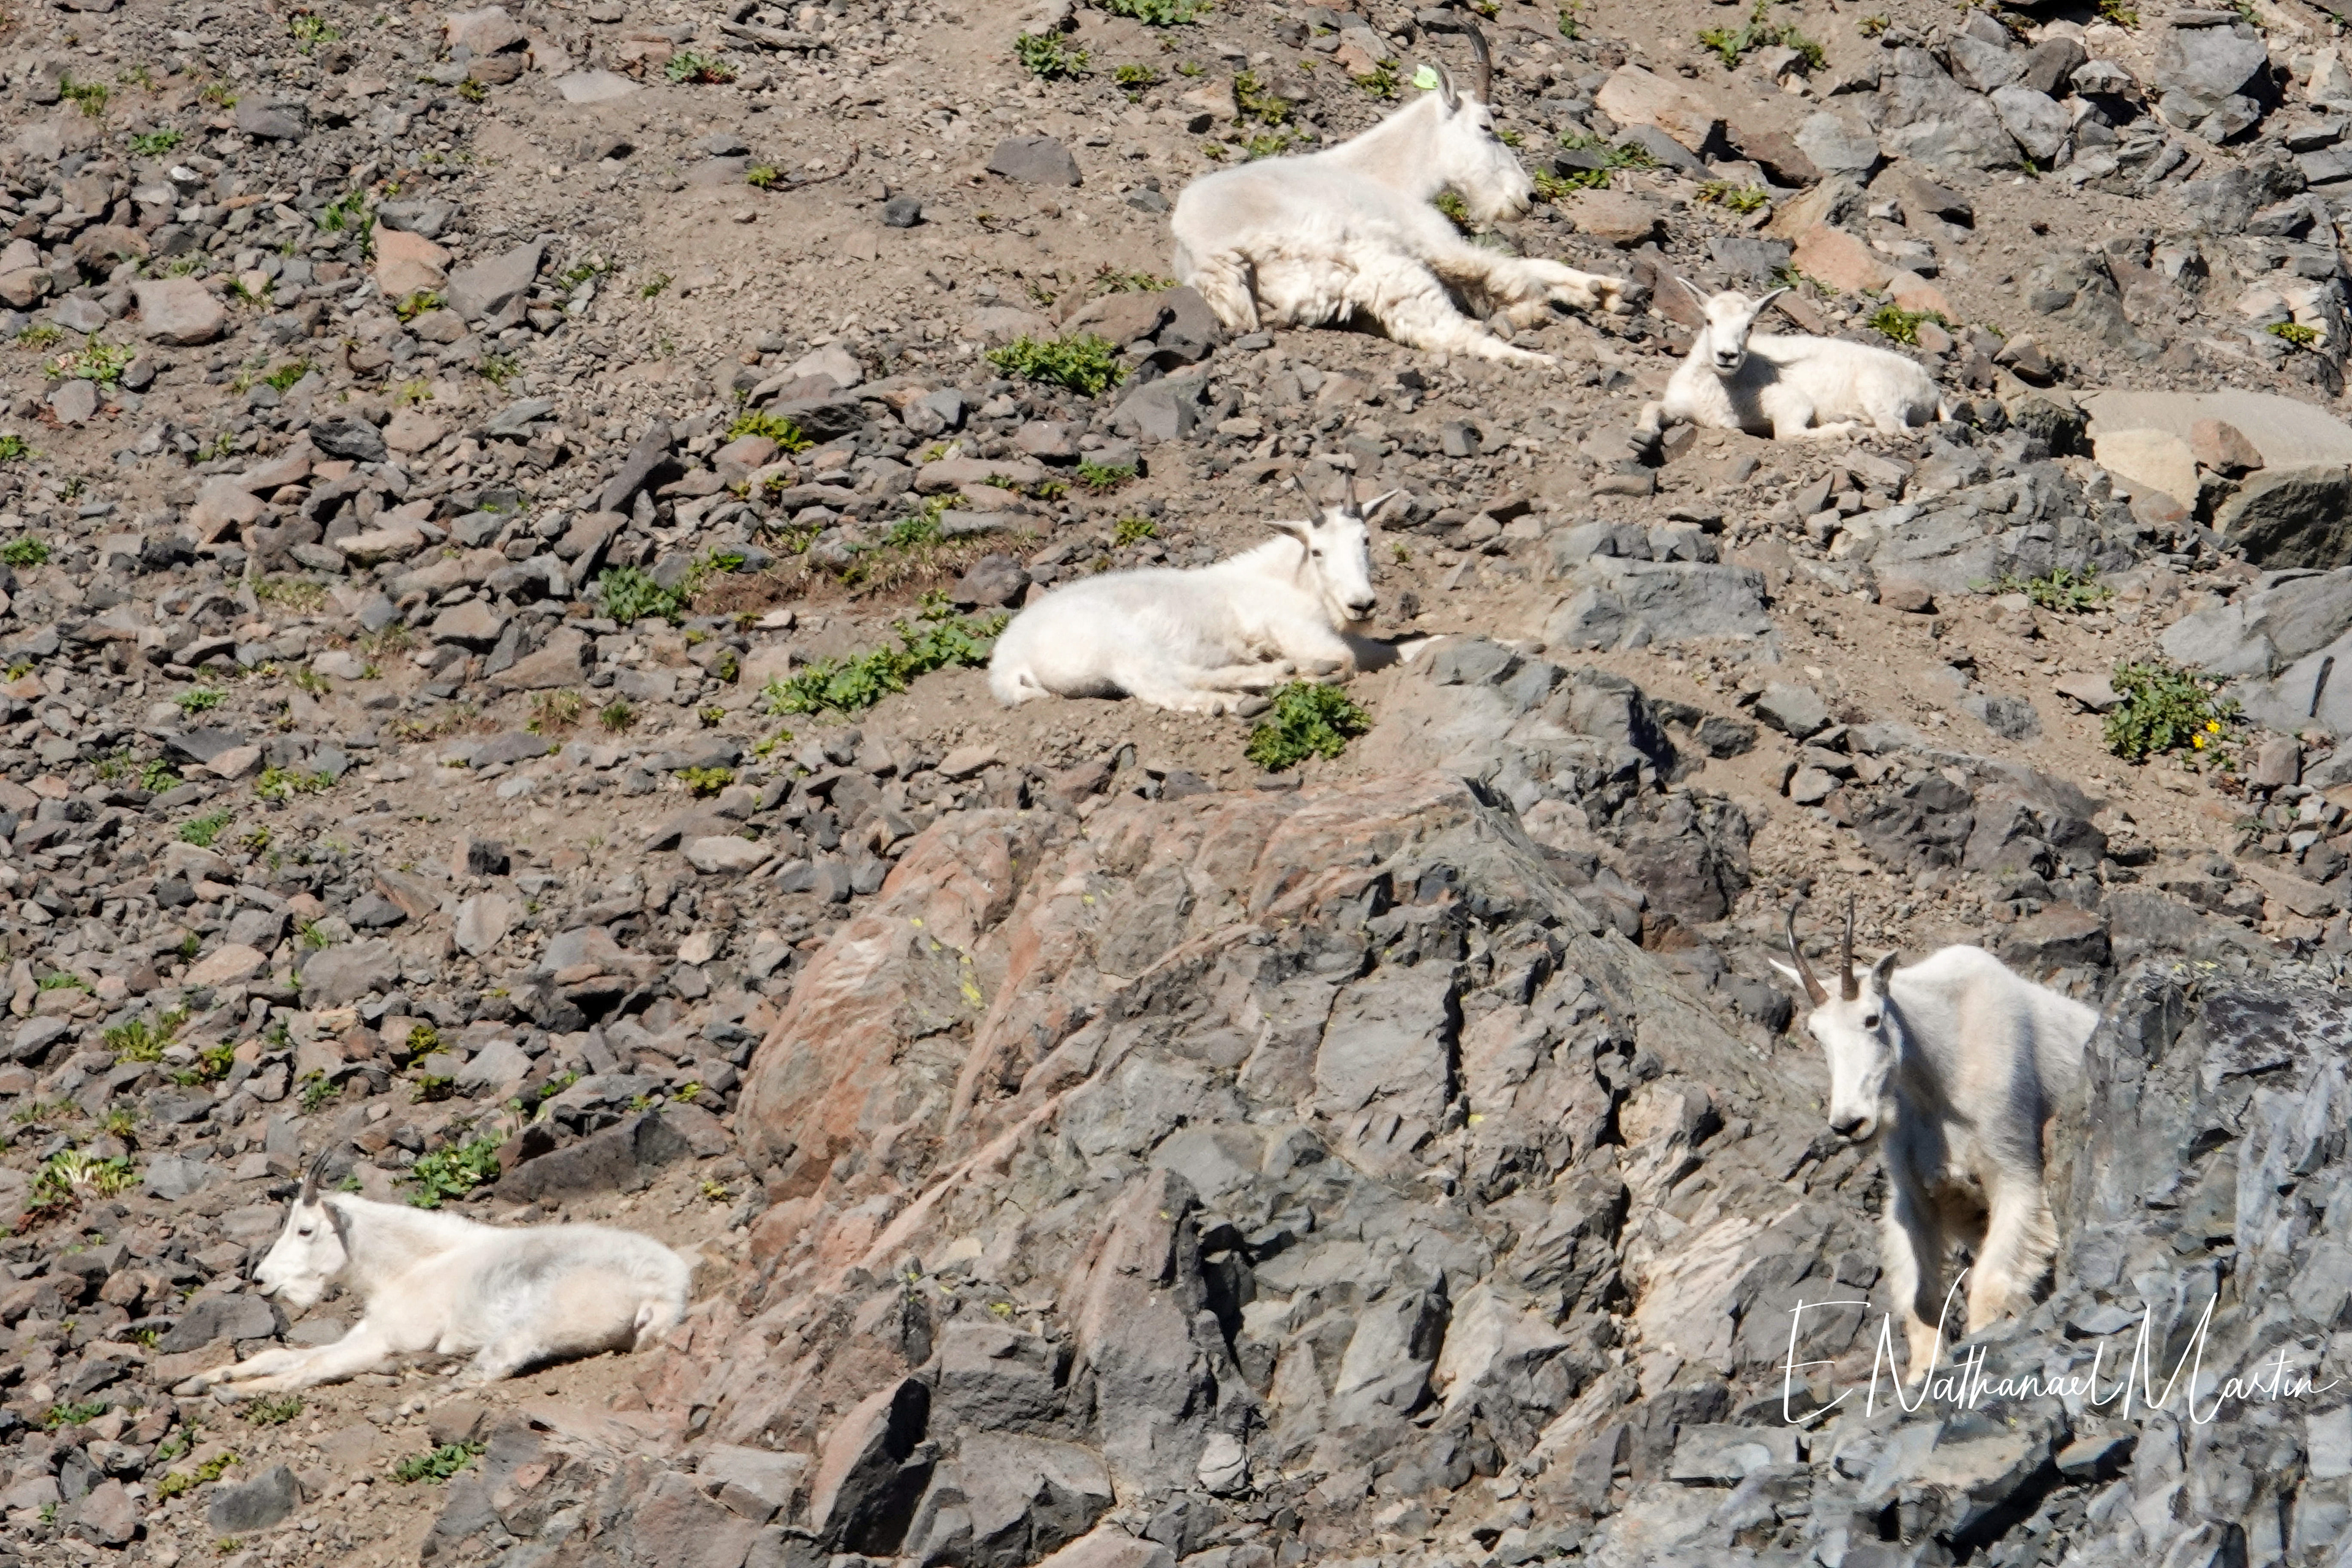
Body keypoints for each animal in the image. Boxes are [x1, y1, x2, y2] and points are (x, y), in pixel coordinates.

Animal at [178, 1154, 691, 1395]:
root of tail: (666, 1292)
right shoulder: (367, 1334)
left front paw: (234, 1392)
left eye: (305, 1229)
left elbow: (307, 1370)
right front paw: (203, 1379)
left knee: (488, 1369)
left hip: (539, 1322)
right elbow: (279, 1357)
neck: (409, 1268)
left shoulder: (386, 1339)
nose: (262, 1280)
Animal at [989, 482, 1414, 714]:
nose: (1362, 604)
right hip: (1119, 649)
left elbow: (1401, 649)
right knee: (1161, 685)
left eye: (1366, 540)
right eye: (1318, 551)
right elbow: (1345, 661)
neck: (1289, 580)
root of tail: (1008, 660)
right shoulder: (1296, 631)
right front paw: (1311, 673)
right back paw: (1238, 696)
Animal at [1170, 27, 1628, 366]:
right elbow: (1513, 269)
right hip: (1380, 264)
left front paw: (1604, 291)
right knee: (1447, 332)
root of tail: (1217, 260)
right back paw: (1538, 358)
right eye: (1487, 127)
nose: (1528, 197)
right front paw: (1586, 294)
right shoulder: (1433, 241)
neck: (1382, 174)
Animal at [1642, 281, 1952, 441]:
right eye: (1709, 320)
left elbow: (1788, 433)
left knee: (1893, 428)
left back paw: (1855, 426)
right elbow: (1651, 406)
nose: (1727, 355)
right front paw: (1645, 433)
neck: (1718, 389)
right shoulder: (1681, 406)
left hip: (1882, 392)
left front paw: (1844, 429)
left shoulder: (1789, 401)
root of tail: (1932, 390)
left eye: (1750, 325)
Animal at [1773, 899, 2097, 1375]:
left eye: (1872, 1019)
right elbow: (1920, 1299)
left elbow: (1989, 1284)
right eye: (1816, 1034)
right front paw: (1919, 1375)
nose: (1849, 1123)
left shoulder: (2016, 1172)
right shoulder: (1914, 1196)